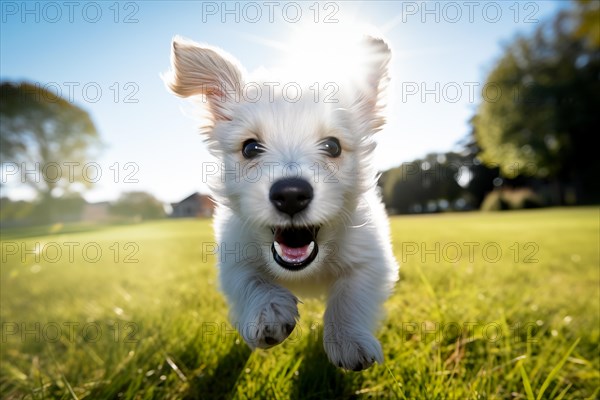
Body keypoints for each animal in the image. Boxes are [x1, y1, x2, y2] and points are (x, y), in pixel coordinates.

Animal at [165, 36, 398, 370]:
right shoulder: (235, 257)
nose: (290, 194)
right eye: (250, 148)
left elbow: (351, 294)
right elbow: (252, 281)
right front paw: (270, 312)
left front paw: (348, 340)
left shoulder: (371, 257)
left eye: (333, 146)